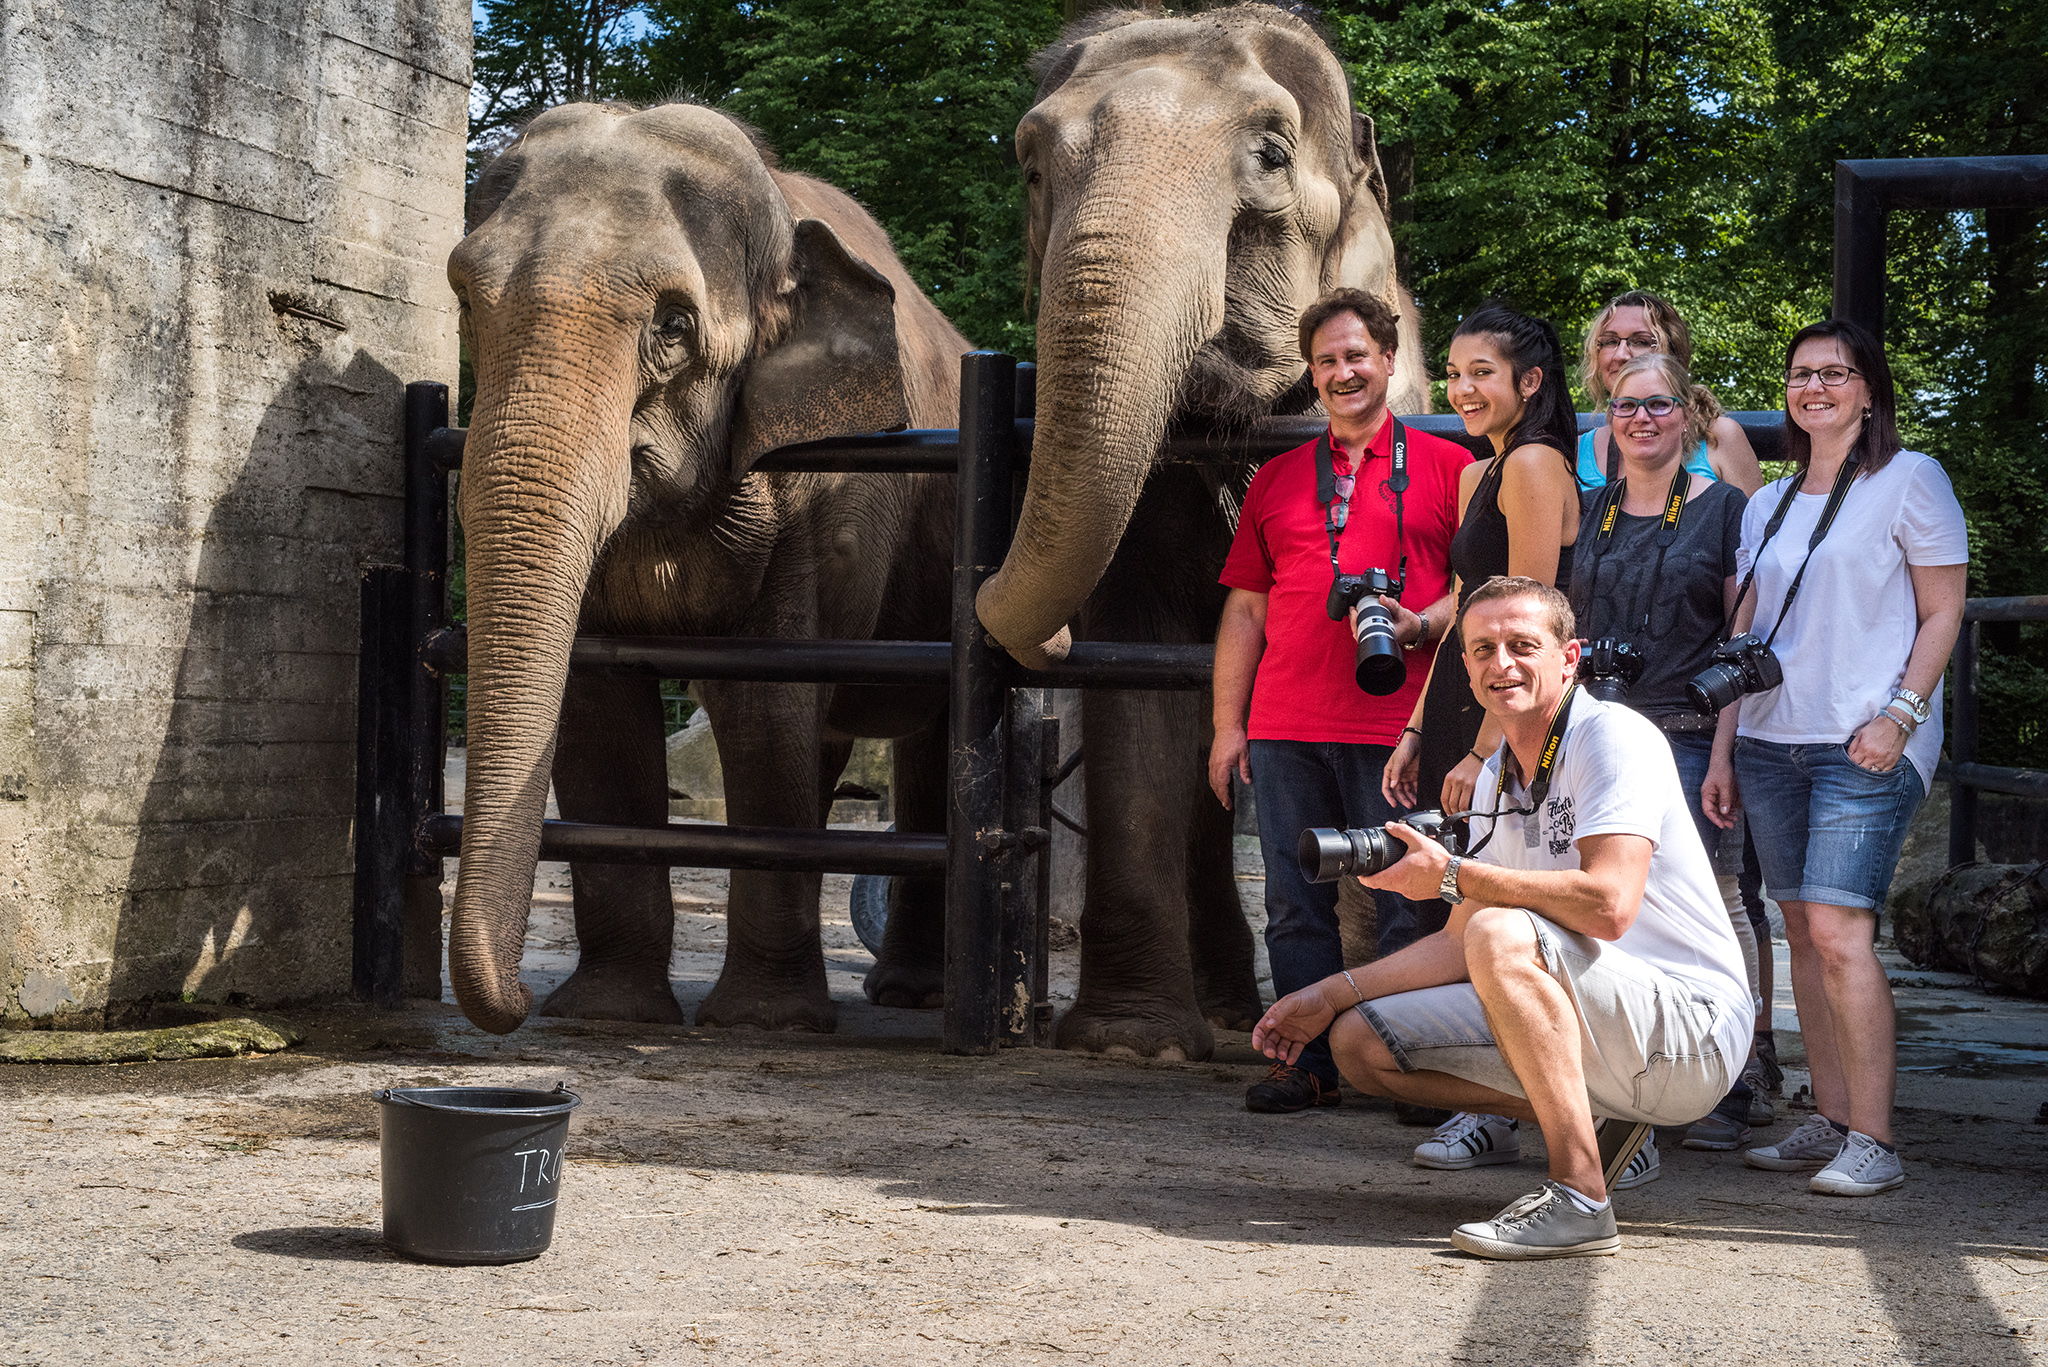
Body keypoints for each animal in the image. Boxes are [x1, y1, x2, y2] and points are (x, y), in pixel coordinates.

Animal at [444, 104, 970, 1037]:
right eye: (466, 300)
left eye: (673, 326)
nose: (516, 1000)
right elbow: (597, 705)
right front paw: (610, 1013)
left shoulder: (815, 494)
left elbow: (763, 705)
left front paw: (765, 1022)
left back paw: (909, 994)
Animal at [970, 5, 1433, 1065]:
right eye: (1030, 164)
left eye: (1270, 155)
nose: (1024, 632)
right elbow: (1140, 666)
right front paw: (1130, 1044)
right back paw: (1221, 1010)